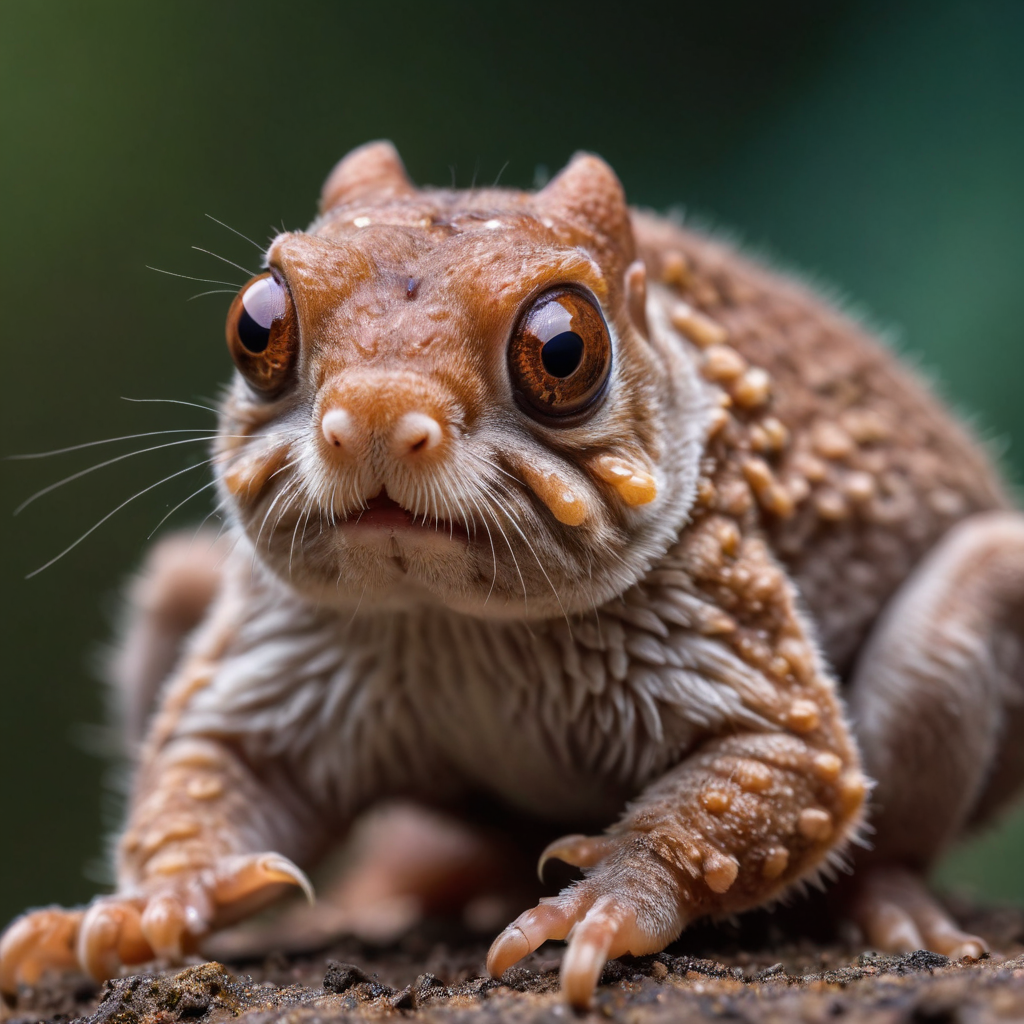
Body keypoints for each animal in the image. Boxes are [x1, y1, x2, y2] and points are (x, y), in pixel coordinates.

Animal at [3, 141, 1021, 1009]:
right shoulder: (284, 645)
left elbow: (789, 763)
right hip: (185, 591)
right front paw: (143, 910)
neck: (453, 621)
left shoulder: (721, 608)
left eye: (563, 348)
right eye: (257, 323)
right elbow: (203, 766)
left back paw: (884, 902)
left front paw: (605, 901)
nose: (376, 414)